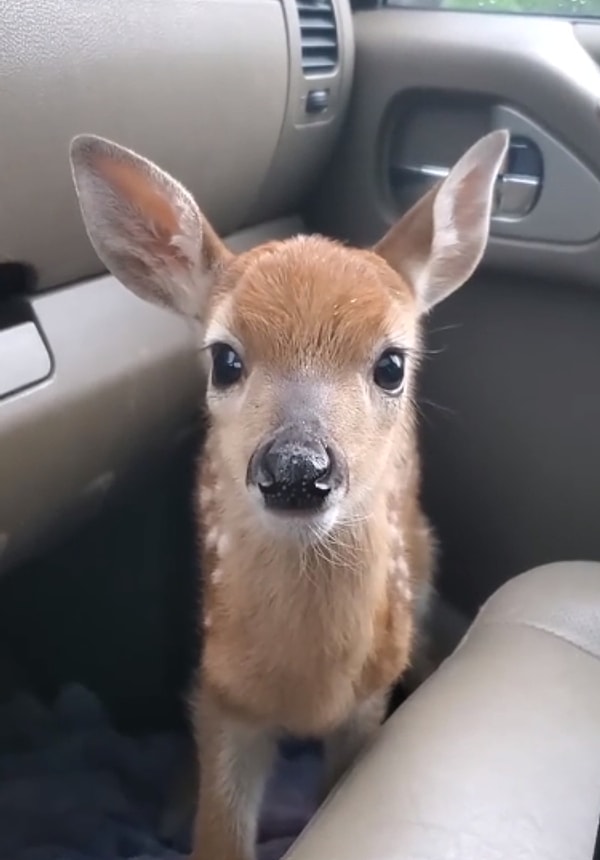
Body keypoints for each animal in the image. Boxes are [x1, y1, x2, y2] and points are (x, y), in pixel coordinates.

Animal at [71, 129, 506, 860]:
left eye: (391, 364)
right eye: (224, 359)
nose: (297, 468)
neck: (306, 689)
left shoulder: (366, 700)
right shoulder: (222, 693)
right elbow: (219, 834)